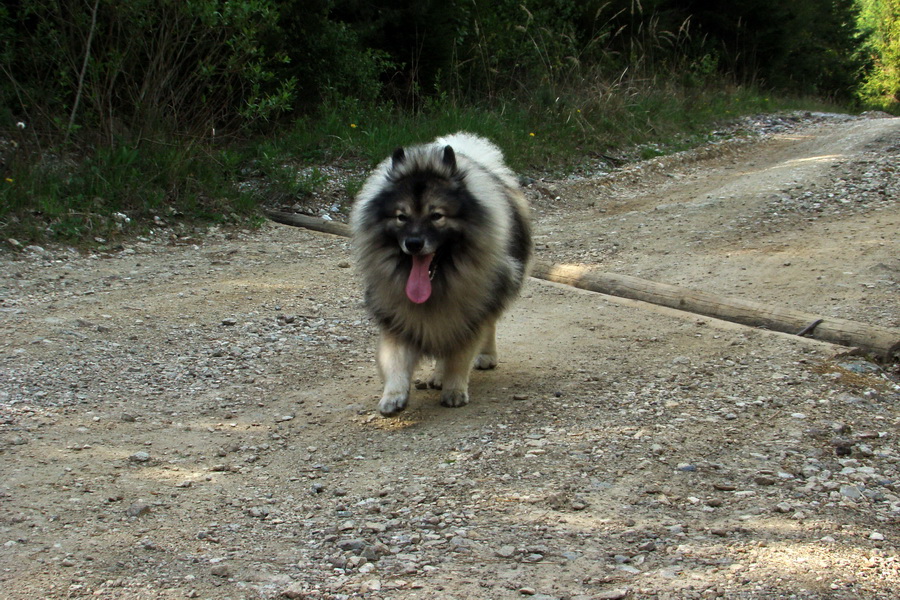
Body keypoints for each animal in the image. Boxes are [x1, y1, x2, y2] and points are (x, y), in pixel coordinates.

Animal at [350, 132, 536, 414]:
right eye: (401, 217)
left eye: (436, 215)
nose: (414, 243)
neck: (438, 283)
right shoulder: (397, 316)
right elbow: (395, 360)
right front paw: (393, 395)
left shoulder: (468, 315)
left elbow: (460, 356)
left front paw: (455, 389)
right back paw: (438, 376)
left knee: (489, 325)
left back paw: (485, 357)